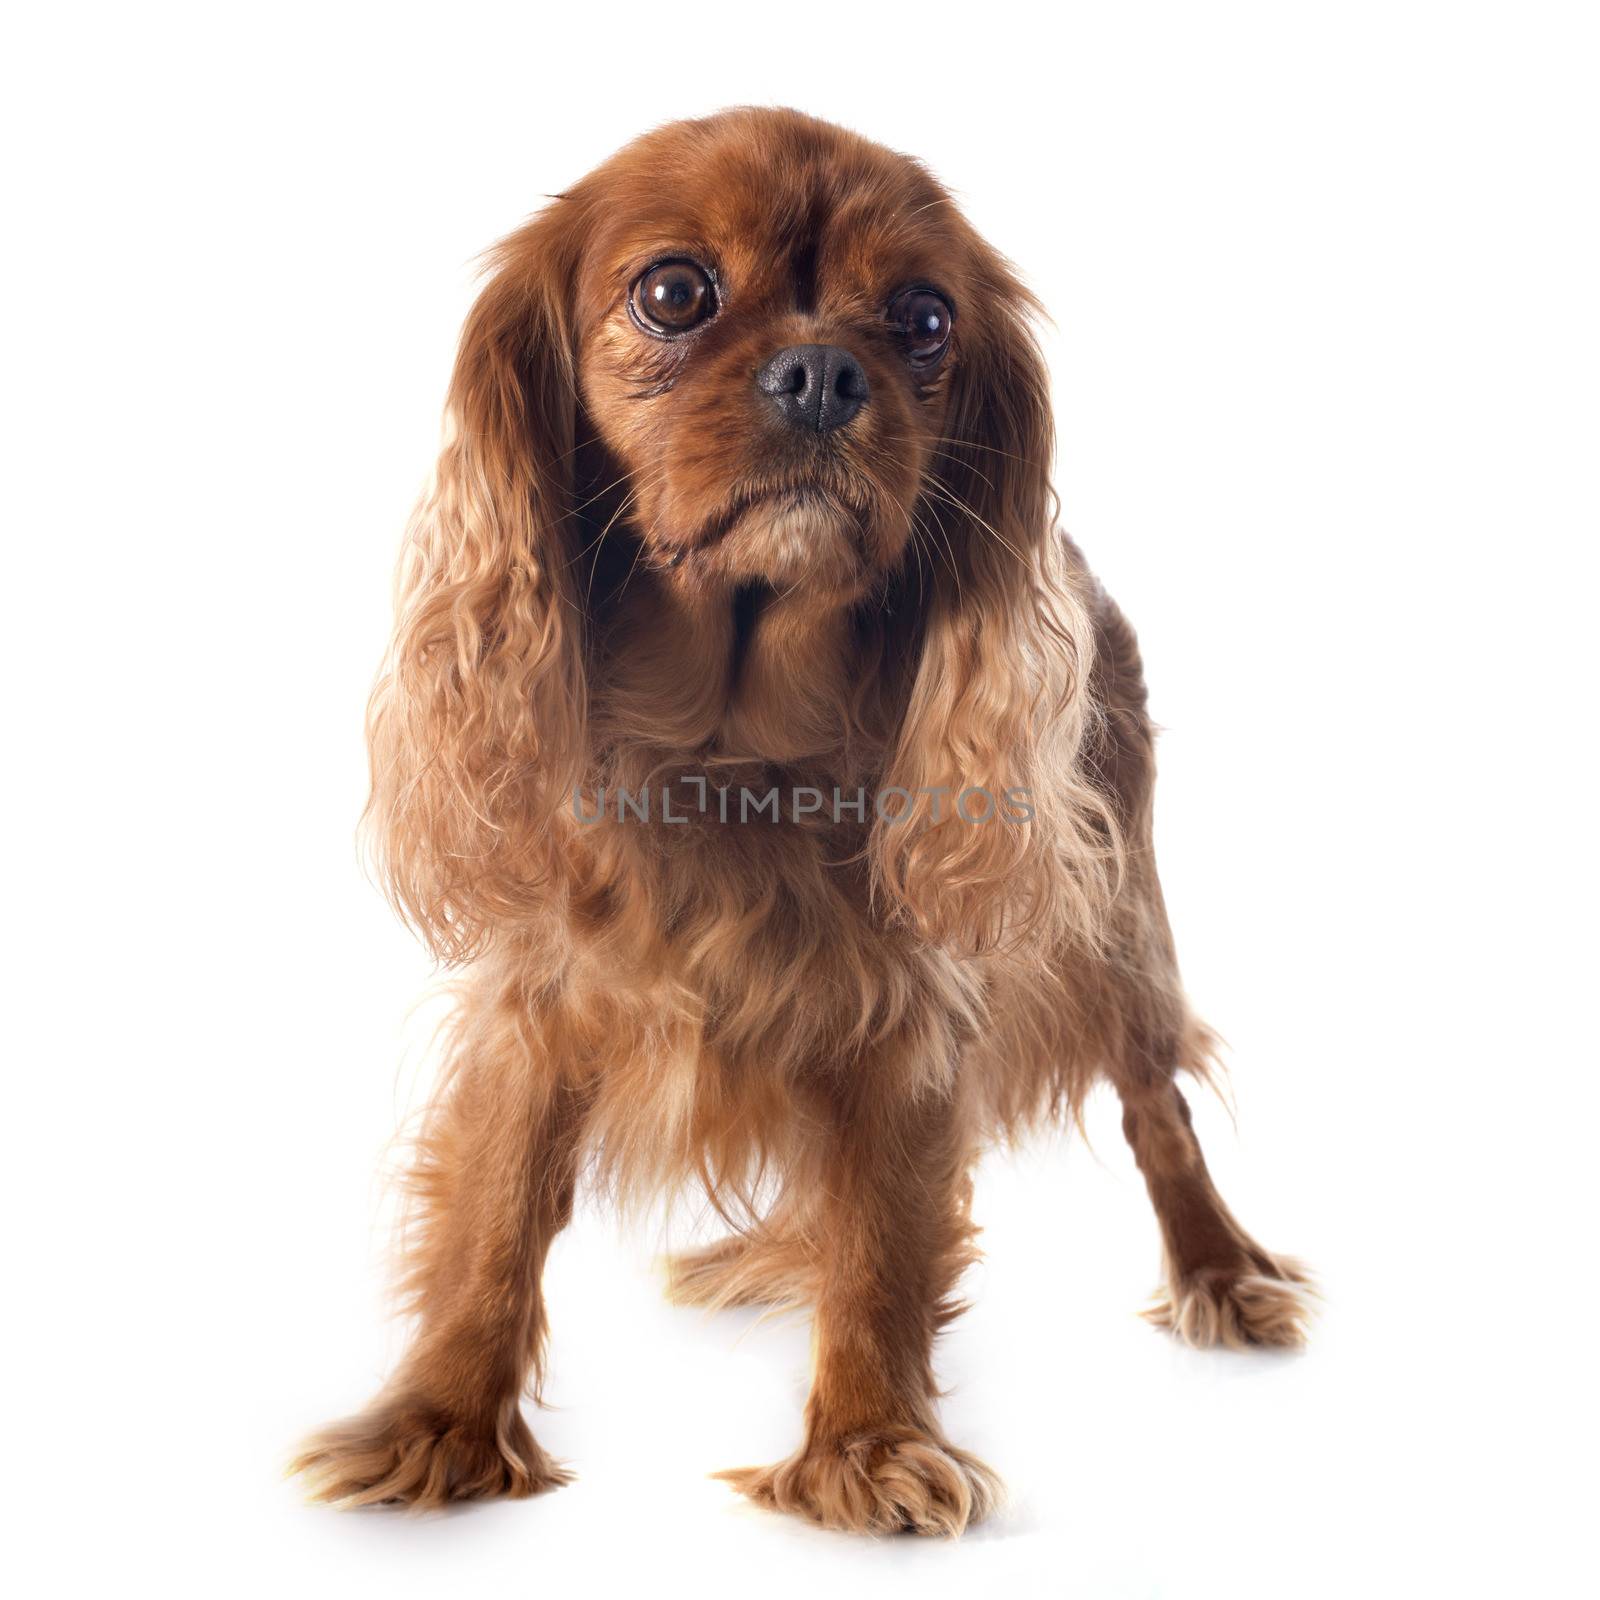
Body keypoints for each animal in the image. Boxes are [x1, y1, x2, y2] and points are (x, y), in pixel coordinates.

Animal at [291, 106, 1312, 1529]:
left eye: (925, 319)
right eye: (673, 293)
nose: (823, 371)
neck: (731, 752)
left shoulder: (910, 1017)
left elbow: (883, 1240)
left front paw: (868, 1446)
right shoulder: (537, 1007)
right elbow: (493, 1221)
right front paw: (437, 1425)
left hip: (1119, 935)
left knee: (1155, 1104)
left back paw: (1221, 1274)